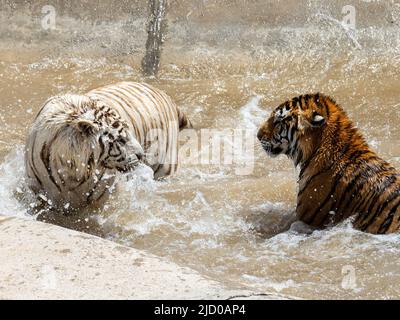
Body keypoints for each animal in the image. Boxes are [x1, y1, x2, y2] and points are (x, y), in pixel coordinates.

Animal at [25, 81, 192, 211]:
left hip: (164, 168)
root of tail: (164, 94)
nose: (141, 155)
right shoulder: (39, 194)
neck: (71, 170)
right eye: (120, 140)